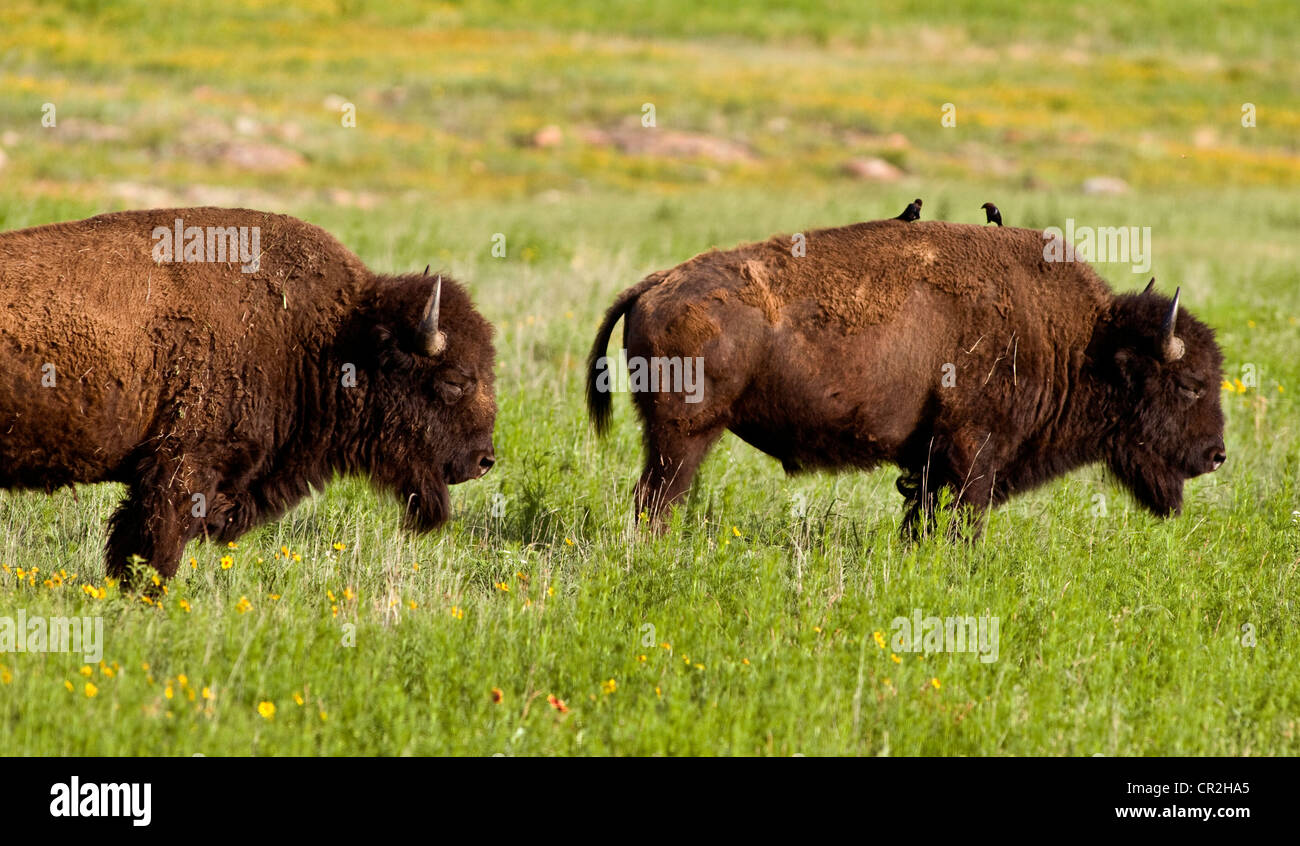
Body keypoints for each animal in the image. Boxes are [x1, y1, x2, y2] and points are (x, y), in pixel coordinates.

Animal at [587, 218, 1226, 535]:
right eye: (1189, 383)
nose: (1217, 455)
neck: (1083, 341)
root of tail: (656, 283)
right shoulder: (973, 454)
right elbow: (963, 522)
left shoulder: (929, 464)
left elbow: (921, 518)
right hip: (684, 436)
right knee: (656, 500)